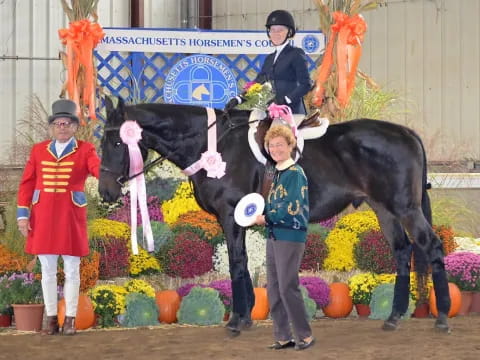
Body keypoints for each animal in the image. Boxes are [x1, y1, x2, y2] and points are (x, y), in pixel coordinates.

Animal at [99, 97, 452, 334]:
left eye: (116, 141)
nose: (105, 191)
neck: (213, 144)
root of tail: (406, 133)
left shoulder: (231, 215)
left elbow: (235, 263)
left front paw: (238, 321)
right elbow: (240, 263)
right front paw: (245, 316)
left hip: (405, 208)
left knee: (431, 246)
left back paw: (442, 317)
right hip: (384, 209)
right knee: (403, 251)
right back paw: (394, 317)